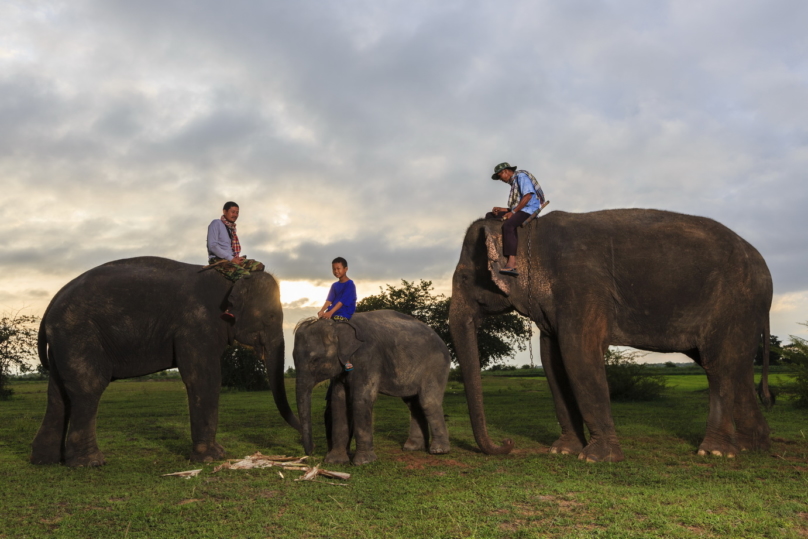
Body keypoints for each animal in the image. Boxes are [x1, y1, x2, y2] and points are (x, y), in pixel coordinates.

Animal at [28, 258, 302, 468]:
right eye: (271, 316)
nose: (302, 443)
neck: (230, 279)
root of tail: (50, 306)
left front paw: (219, 453)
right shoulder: (196, 324)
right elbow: (204, 378)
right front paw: (210, 459)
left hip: (64, 341)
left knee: (58, 395)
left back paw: (46, 462)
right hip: (78, 333)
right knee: (88, 387)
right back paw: (91, 463)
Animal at [294, 310, 452, 466]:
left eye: (315, 360)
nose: (311, 451)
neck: (339, 324)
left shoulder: (367, 357)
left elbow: (361, 400)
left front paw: (363, 462)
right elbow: (338, 402)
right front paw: (335, 461)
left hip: (436, 365)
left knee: (428, 401)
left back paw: (439, 451)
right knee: (413, 404)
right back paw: (413, 448)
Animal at [448, 211, 772, 464]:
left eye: (463, 279)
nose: (508, 444)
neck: (528, 231)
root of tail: (762, 264)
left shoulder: (582, 287)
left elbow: (578, 355)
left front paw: (595, 458)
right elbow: (552, 362)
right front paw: (562, 452)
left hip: (734, 302)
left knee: (718, 364)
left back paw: (714, 453)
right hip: (745, 310)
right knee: (739, 367)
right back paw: (749, 448)